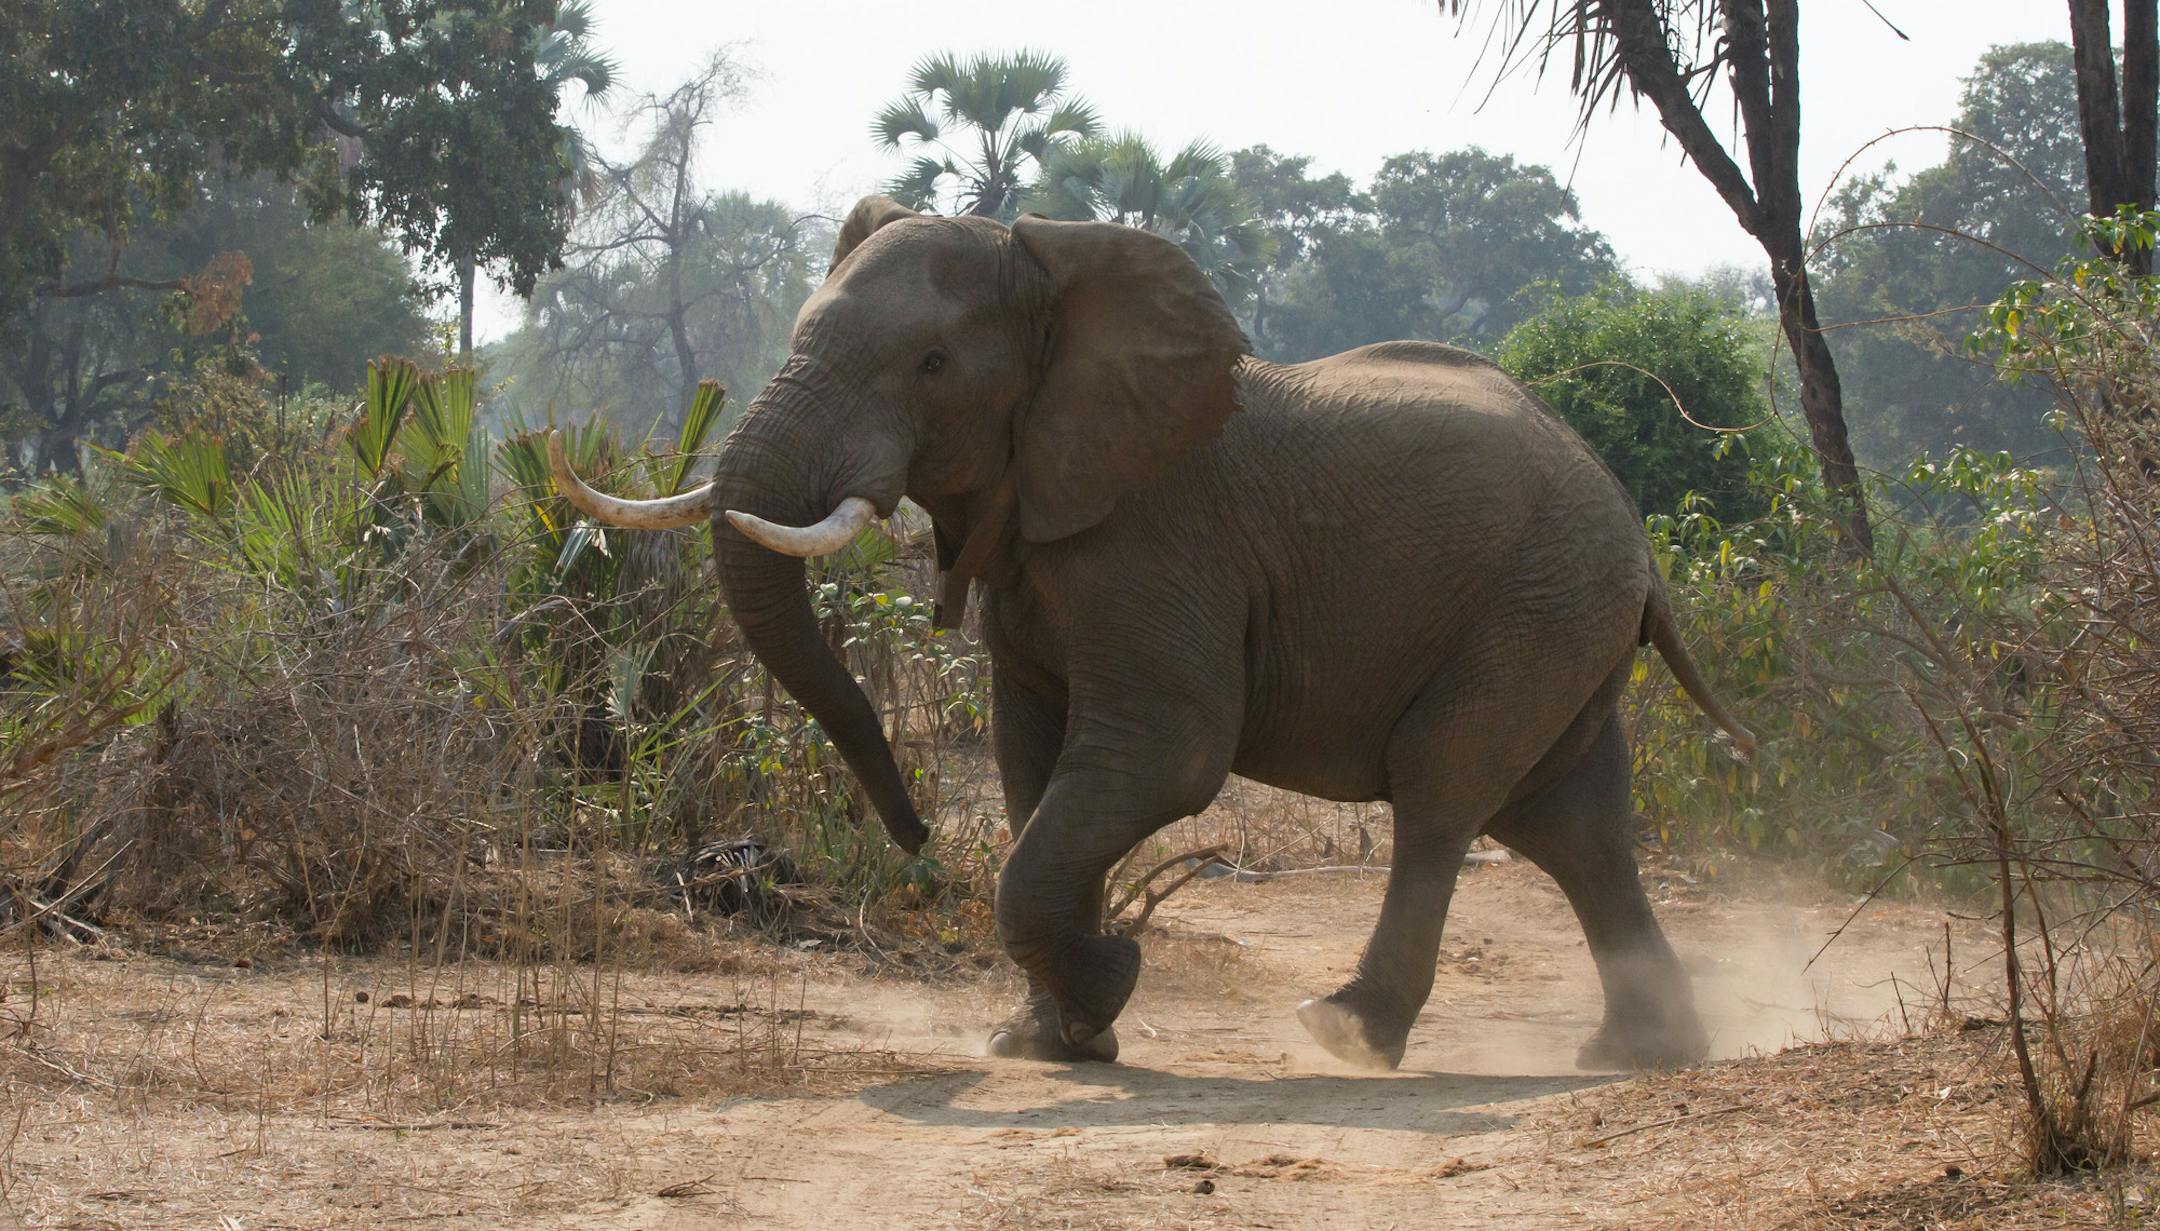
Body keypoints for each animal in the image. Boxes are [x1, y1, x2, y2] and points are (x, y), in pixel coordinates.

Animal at [549, 195, 1755, 1072]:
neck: (1051, 271)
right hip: (1563, 616)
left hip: (1535, 605)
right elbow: (1034, 761)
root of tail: (1639, 540)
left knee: (1447, 788)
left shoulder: (1157, 540)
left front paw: (1106, 990)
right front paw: (1051, 1040)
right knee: (1571, 818)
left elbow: (1164, 757)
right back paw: (1640, 1052)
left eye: (932, 366)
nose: (916, 834)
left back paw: (1346, 1031)